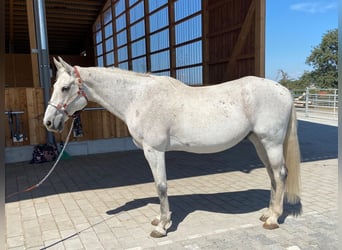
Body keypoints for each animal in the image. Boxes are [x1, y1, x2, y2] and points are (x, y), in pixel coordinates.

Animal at [44, 57, 300, 238]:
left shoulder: (154, 151)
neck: (139, 98)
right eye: (54, 85)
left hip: (271, 142)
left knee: (280, 174)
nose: (48, 122)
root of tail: (284, 91)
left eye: (65, 88)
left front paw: (162, 226)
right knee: (272, 176)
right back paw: (267, 213)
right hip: (259, 142)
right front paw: (160, 220)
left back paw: (273, 219)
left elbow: (161, 186)